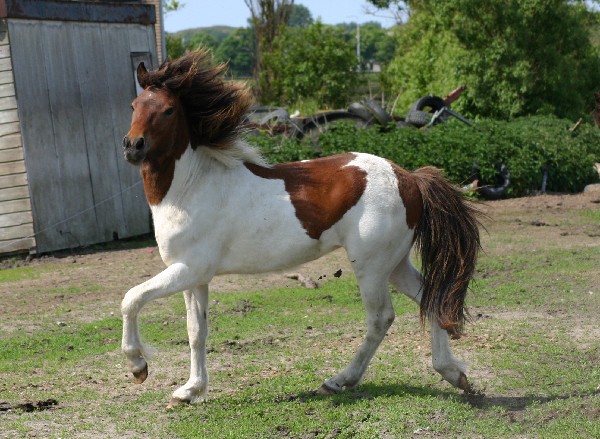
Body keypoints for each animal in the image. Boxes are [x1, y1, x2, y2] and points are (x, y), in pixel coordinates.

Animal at [120, 50, 482, 410]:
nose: (133, 146)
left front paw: (139, 366)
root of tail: (409, 178)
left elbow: (131, 299)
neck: (190, 188)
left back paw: (338, 381)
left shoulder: (190, 268)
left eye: (168, 109)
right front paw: (189, 391)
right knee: (430, 298)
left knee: (381, 318)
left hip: (371, 266)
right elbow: (196, 331)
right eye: (135, 105)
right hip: (394, 264)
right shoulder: (194, 276)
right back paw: (454, 374)